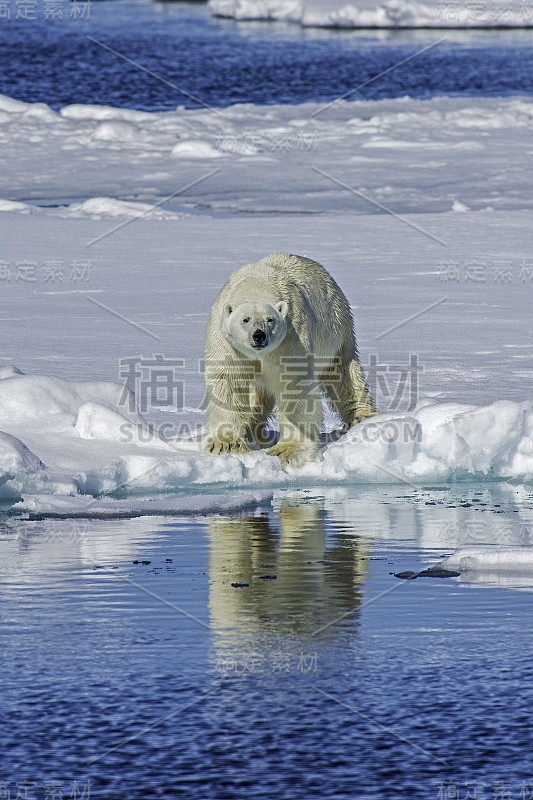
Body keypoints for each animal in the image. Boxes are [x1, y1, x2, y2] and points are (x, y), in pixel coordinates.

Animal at [202, 253, 376, 468]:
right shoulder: (226, 342)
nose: (259, 336)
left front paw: (287, 450)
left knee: (343, 373)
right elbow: (227, 381)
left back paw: (361, 418)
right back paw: (251, 429)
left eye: (270, 319)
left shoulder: (291, 335)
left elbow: (294, 385)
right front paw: (226, 444)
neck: (255, 284)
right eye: (245, 319)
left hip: (338, 328)